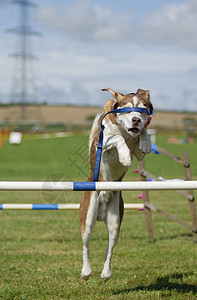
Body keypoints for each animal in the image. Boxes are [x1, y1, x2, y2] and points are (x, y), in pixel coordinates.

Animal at [79, 87, 153, 282]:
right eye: (127, 110)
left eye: (143, 109)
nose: (136, 120)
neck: (126, 132)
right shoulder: (103, 140)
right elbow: (117, 139)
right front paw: (125, 156)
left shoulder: (139, 153)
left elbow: (142, 138)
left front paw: (145, 141)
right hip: (88, 215)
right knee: (86, 245)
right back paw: (86, 271)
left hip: (115, 221)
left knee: (109, 248)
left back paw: (106, 273)